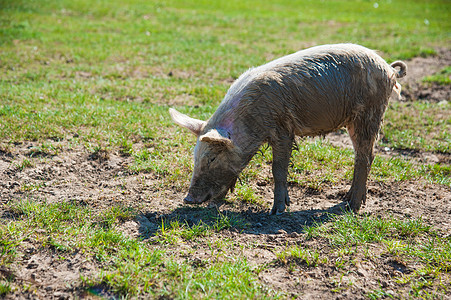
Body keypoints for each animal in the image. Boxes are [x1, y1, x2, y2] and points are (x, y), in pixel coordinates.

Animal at [170, 43, 410, 214]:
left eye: (212, 158)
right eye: (195, 156)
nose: (188, 199)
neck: (247, 120)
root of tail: (388, 68)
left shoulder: (282, 128)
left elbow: (278, 168)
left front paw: (277, 211)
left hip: (370, 113)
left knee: (365, 156)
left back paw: (352, 207)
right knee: (364, 155)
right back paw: (346, 198)